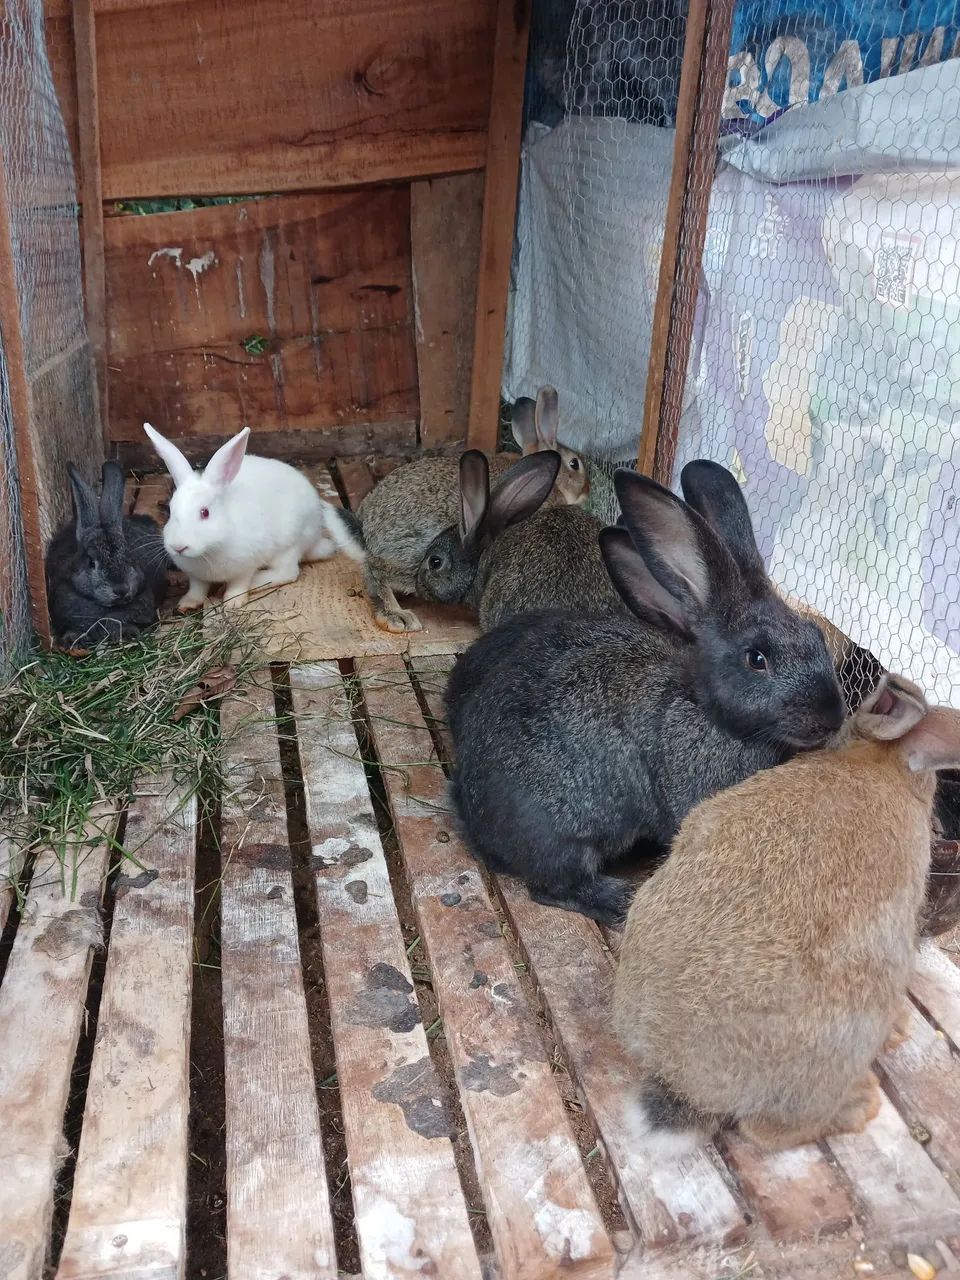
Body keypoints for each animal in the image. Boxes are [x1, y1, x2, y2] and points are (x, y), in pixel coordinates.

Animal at [143, 423, 364, 611]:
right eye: (170, 511)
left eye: (205, 512)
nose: (178, 547)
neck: (209, 550)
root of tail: (315, 540)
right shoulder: (196, 576)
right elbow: (197, 589)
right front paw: (186, 604)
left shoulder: (246, 565)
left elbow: (239, 584)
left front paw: (233, 602)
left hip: (288, 545)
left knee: (288, 573)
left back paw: (256, 581)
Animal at [445, 460, 846, 925]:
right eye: (757, 659)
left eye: (815, 636)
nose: (831, 716)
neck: (713, 716)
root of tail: (474, 819)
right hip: (566, 838)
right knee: (553, 887)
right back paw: (619, 899)